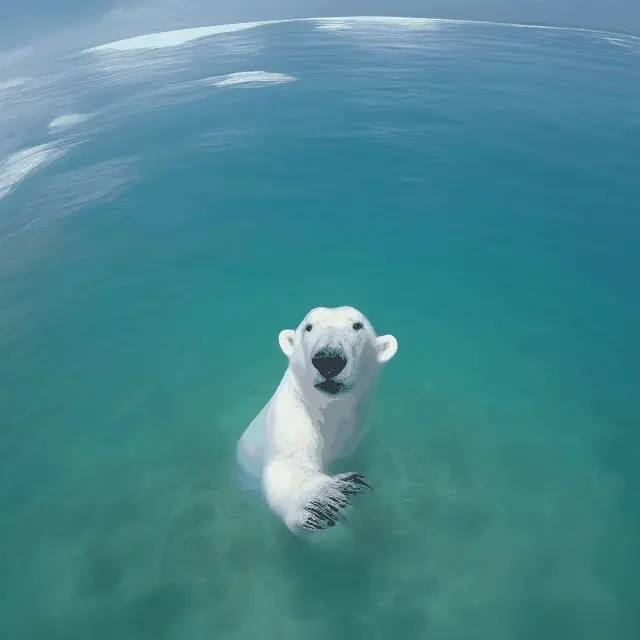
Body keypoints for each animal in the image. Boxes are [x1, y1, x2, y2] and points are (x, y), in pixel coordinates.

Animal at [235, 306, 398, 534]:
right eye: (309, 326)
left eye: (358, 325)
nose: (329, 359)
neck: (330, 413)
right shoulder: (292, 421)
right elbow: (287, 466)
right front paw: (323, 499)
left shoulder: (359, 441)